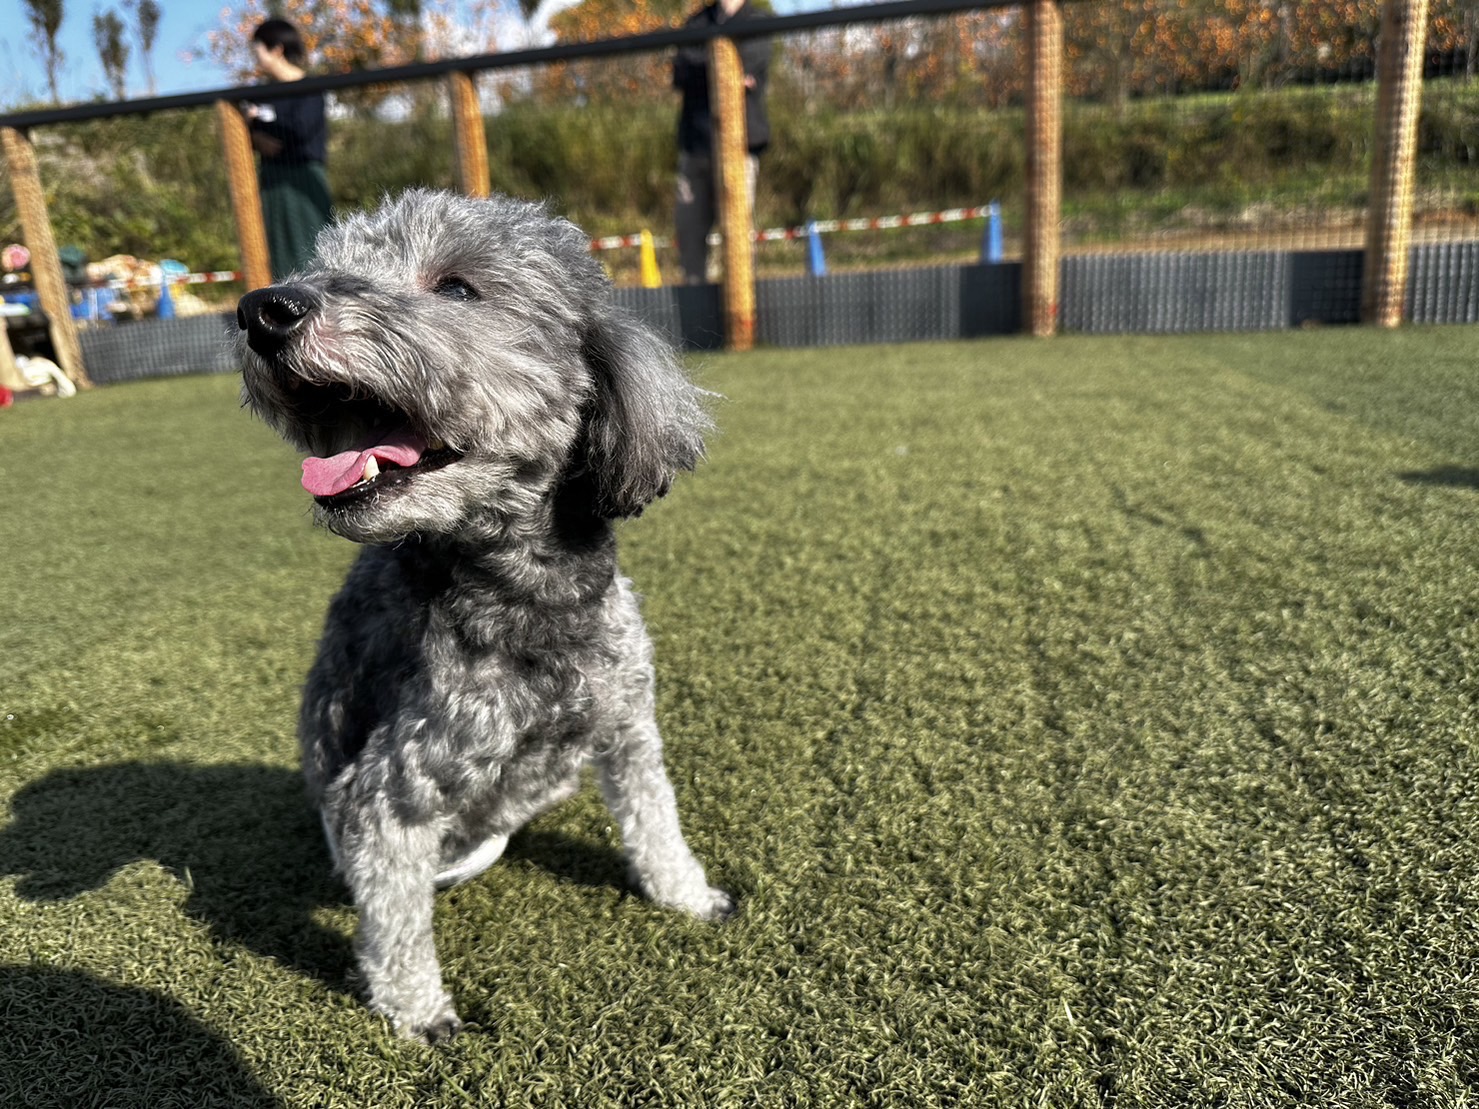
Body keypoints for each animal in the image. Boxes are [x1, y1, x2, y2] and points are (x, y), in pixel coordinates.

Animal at [235, 187, 733, 1046]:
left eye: (457, 288)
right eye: (327, 266)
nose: (266, 308)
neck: (533, 598)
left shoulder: (630, 732)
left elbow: (656, 824)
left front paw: (686, 894)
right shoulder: (390, 790)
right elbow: (396, 923)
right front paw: (416, 1010)